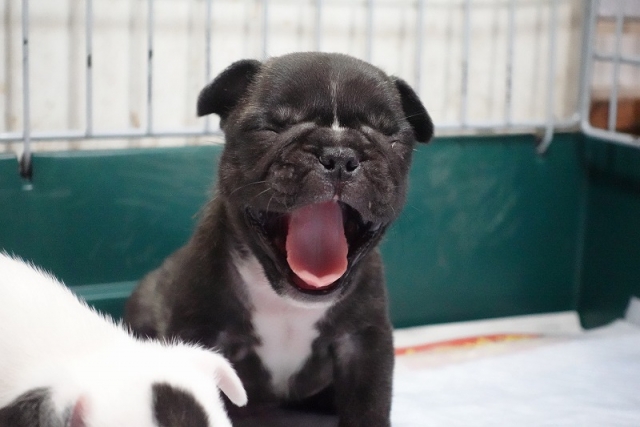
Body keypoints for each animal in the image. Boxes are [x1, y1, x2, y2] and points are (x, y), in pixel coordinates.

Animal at [125, 52, 433, 426]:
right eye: (271, 128)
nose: (340, 154)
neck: (287, 301)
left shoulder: (363, 343)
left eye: (391, 136)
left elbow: (369, 405)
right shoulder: (201, 332)